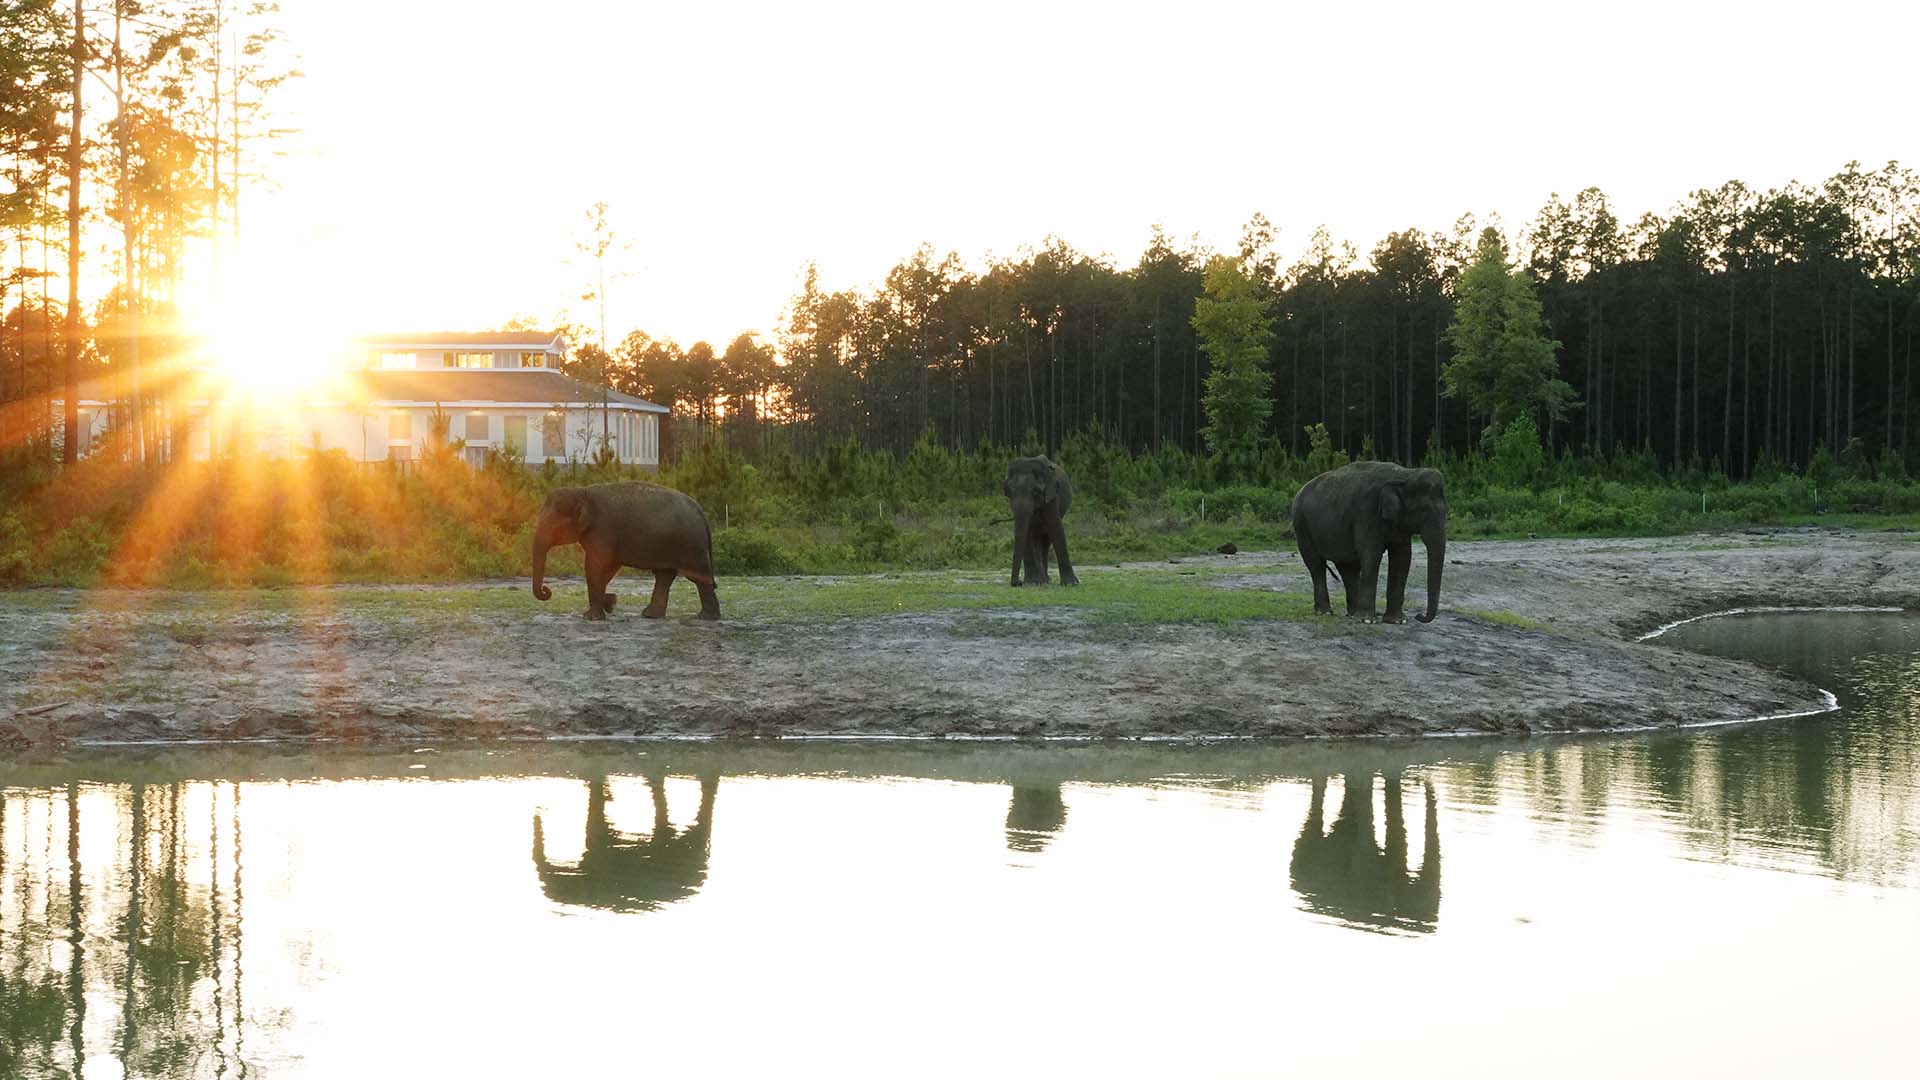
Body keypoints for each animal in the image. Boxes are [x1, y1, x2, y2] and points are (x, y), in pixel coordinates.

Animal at [526, 480, 721, 618]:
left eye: (551, 524)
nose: (546, 590)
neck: (582, 492)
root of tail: (701, 512)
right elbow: (608, 568)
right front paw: (609, 603)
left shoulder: (603, 529)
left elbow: (595, 566)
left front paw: (591, 616)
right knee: (664, 576)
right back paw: (650, 615)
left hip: (692, 545)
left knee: (698, 577)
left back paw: (705, 617)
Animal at [1006, 455, 1082, 588]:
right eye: (1009, 492)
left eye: (1036, 492)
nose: (1018, 582)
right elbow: (1027, 532)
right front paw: (1032, 582)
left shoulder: (1052, 495)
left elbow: (1056, 527)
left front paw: (1071, 584)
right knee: (1036, 538)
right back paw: (1041, 580)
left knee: (1046, 540)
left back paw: (1045, 579)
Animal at [1282, 455, 1443, 622]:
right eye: (1423, 510)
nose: (1419, 615)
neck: (1405, 474)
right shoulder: (1367, 513)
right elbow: (1371, 554)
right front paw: (1368, 620)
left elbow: (1402, 557)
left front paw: (1397, 621)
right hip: (1302, 525)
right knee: (1316, 566)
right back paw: (1326, 612)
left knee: (1348, 567)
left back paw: (1353, 613)